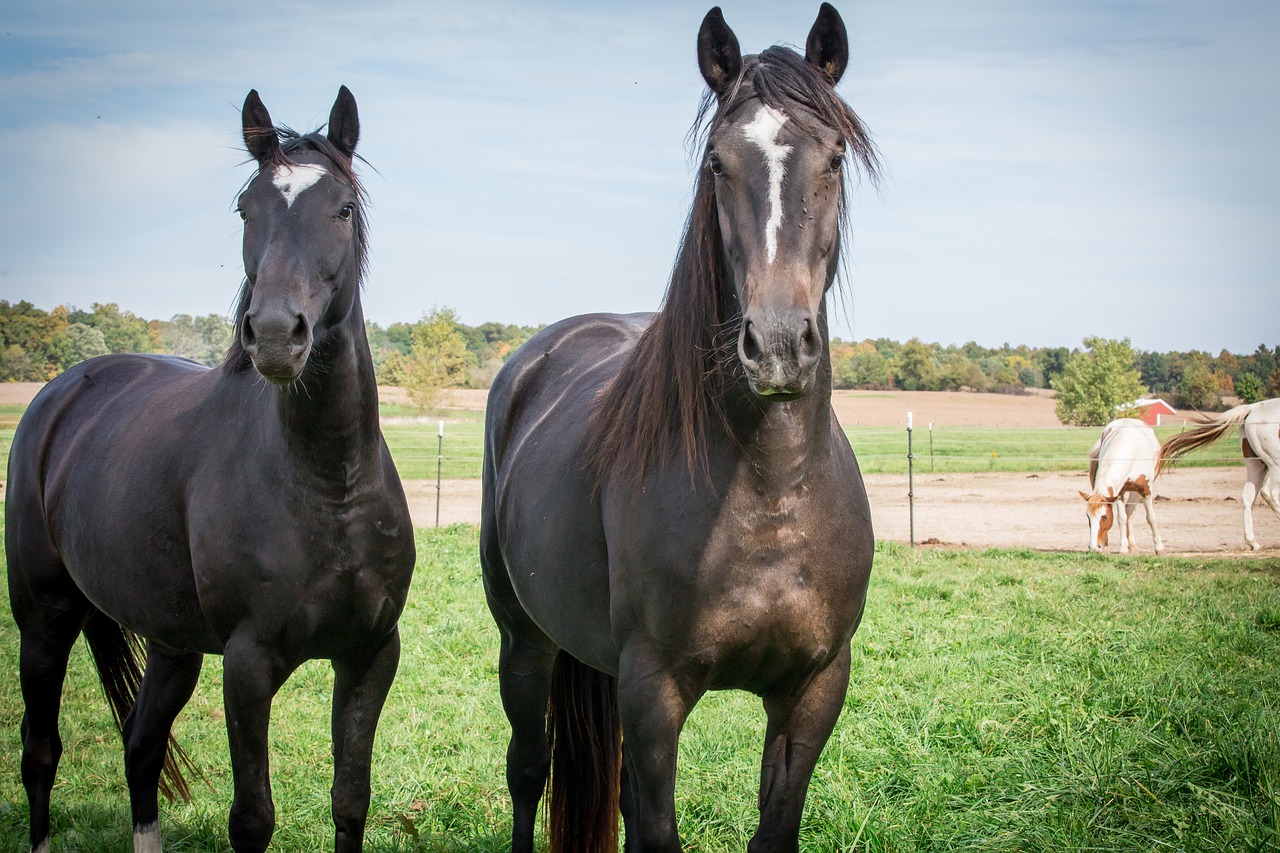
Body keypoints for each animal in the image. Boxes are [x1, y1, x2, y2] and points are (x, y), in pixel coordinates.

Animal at [6, 87, 414, 850]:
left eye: (343, 208)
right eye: (246, 208)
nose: (277, 334)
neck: (329, 485)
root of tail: (62, 390)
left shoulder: (370, 654)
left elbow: (351, 800)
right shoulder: (249, 666)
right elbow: (252, 817)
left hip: (171, 644)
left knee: (140, 745)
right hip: (44, 619)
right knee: (40, 751)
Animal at [481, 6, 880, 850]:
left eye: (833, 157)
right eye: (718, 164)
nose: (778, 344)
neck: (770, 488)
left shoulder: (814, 689)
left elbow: (770, 826)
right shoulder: (654, 690)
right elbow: (655, 826)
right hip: (523, 640)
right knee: (528, 768)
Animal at [1080, 417, 1172, 550]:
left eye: (1104, 517)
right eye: (1088, 516)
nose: (1093, 547)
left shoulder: (1145, 490)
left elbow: (1151, 517)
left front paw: (1159, 547)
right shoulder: (1118, 491)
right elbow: (1121, 518)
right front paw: (1123, 547)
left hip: (1136, 492)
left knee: (1130, 511)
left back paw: (1132, 545)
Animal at [1162, 394, 1280, 548]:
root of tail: (1251, 408)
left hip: (1257, 466)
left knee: (1249, 497)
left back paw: (1253, 542)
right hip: (1275, 465)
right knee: (1271, 494)